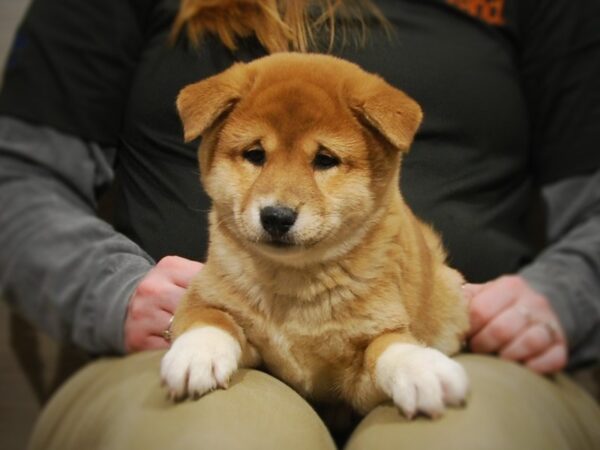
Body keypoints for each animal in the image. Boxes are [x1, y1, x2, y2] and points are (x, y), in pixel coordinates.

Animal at [162, 52, 472, 418]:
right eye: (255, 155)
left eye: (325, 160)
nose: (276, 216)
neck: (293, 281)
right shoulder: (207, 292)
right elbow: (209, 317)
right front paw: (195, 354)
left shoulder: (366, 360)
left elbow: (388, 346)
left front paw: (420, 369)